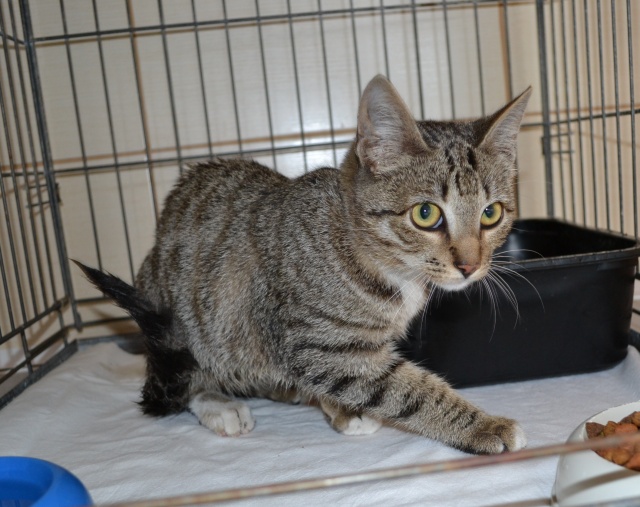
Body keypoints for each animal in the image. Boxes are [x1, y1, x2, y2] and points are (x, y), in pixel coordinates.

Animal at [76, 74, 531, 455]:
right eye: (425, 214)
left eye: (491, 214)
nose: (470, 265)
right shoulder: (317, 343)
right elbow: (404, 389)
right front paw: (483, 426)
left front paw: (339, 408)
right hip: (185, 323)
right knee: (190, 375)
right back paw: (220, 404)